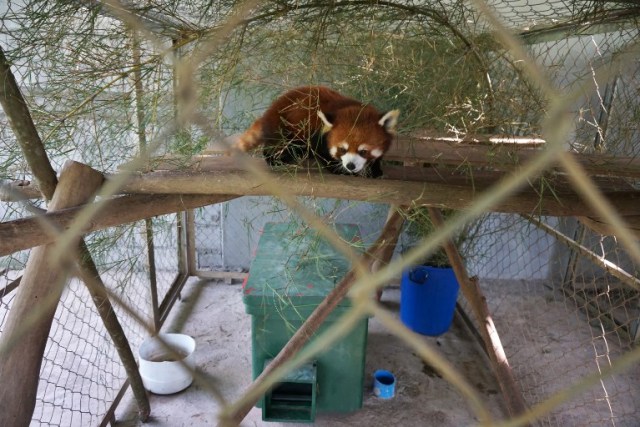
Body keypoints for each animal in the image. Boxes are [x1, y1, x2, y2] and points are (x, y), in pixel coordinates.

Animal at [235, 86, 398, 178]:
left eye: (363, 151)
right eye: (342, 149)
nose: (350, 166)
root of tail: (269, 111)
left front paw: (375, 169)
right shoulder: (317, 135)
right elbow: (323, 154)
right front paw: (339, 170)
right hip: (283, 128)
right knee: (278, 147)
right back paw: (278, 160)